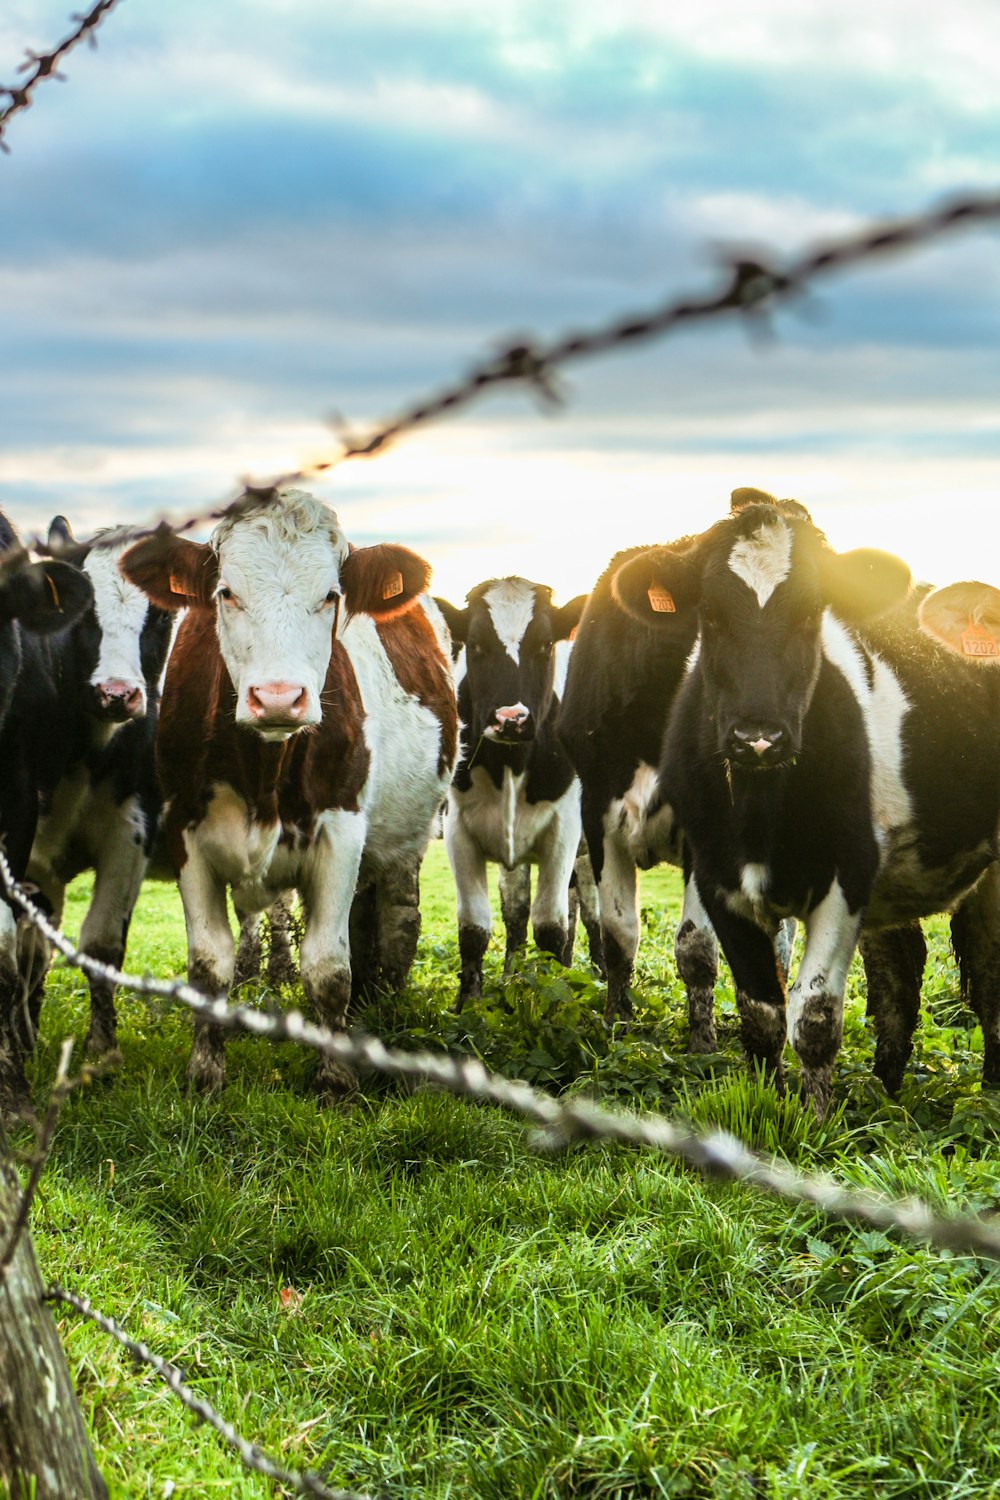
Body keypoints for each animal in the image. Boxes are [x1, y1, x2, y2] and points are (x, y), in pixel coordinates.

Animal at [119, 495, 458, 1104]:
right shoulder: (185, 834)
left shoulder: (342, 831)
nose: (278, 698)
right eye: (226, 593)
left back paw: (385, 1005)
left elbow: (327, 967)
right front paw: (205, 1075)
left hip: (407, 835)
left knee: (398, 919)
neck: (263, 774)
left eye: (330, 595)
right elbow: (209, 965)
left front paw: (337, 1080)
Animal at [431, 576, 593, 1008]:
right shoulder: (457, 830)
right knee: (519, 912)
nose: (511, 719)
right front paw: (469, 1002)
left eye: (546, 643)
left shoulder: (564, 830)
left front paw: (553, 998)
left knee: (589, 915)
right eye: (475, 644)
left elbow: (551, 926)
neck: (511, 764)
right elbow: (475, 926)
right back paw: (511, 976)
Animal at [611, 492, 1000, 1116]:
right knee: (902, 971)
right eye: (710, 616)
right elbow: (761, 1012)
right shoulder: (717, 875)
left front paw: (817, 1121)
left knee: (988, 972)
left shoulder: (846, 872)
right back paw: (887, 1091)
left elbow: (814, 1016)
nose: (758, 737)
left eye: (811, 613)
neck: (759, 809)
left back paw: (987, 1093)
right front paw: (766, 1103)